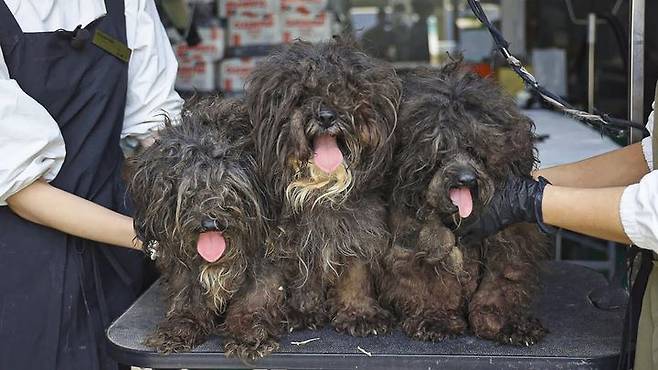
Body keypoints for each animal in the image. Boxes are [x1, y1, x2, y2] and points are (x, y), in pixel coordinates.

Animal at [129, 97, 284, 358]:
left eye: (230, 185)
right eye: (188, 188)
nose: (210, 222)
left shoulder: (267, 255)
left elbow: (257, 293)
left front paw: (248, 334)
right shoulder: (180, 263)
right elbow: (187, 293)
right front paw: (180, 328)